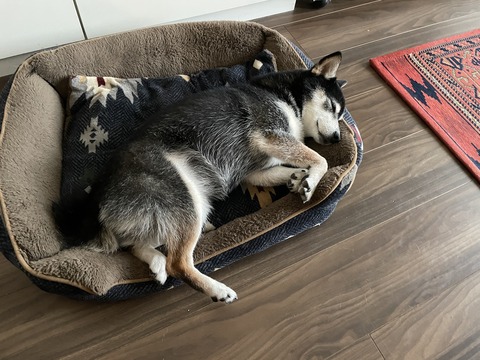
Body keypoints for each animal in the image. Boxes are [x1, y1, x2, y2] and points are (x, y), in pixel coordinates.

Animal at [56, 50, 346, 304]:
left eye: (340, 114)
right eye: (332, 107)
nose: (336, 138)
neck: (283, 96)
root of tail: (98, 201)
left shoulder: (255, 172)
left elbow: (290, 167)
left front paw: (300, 177)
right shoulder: (269, 136)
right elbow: (321, 159)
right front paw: (311, 181)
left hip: (181, 210)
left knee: (137, 245)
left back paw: (156, 263)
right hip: (186, 200)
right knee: (177, 263)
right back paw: (216, 290)